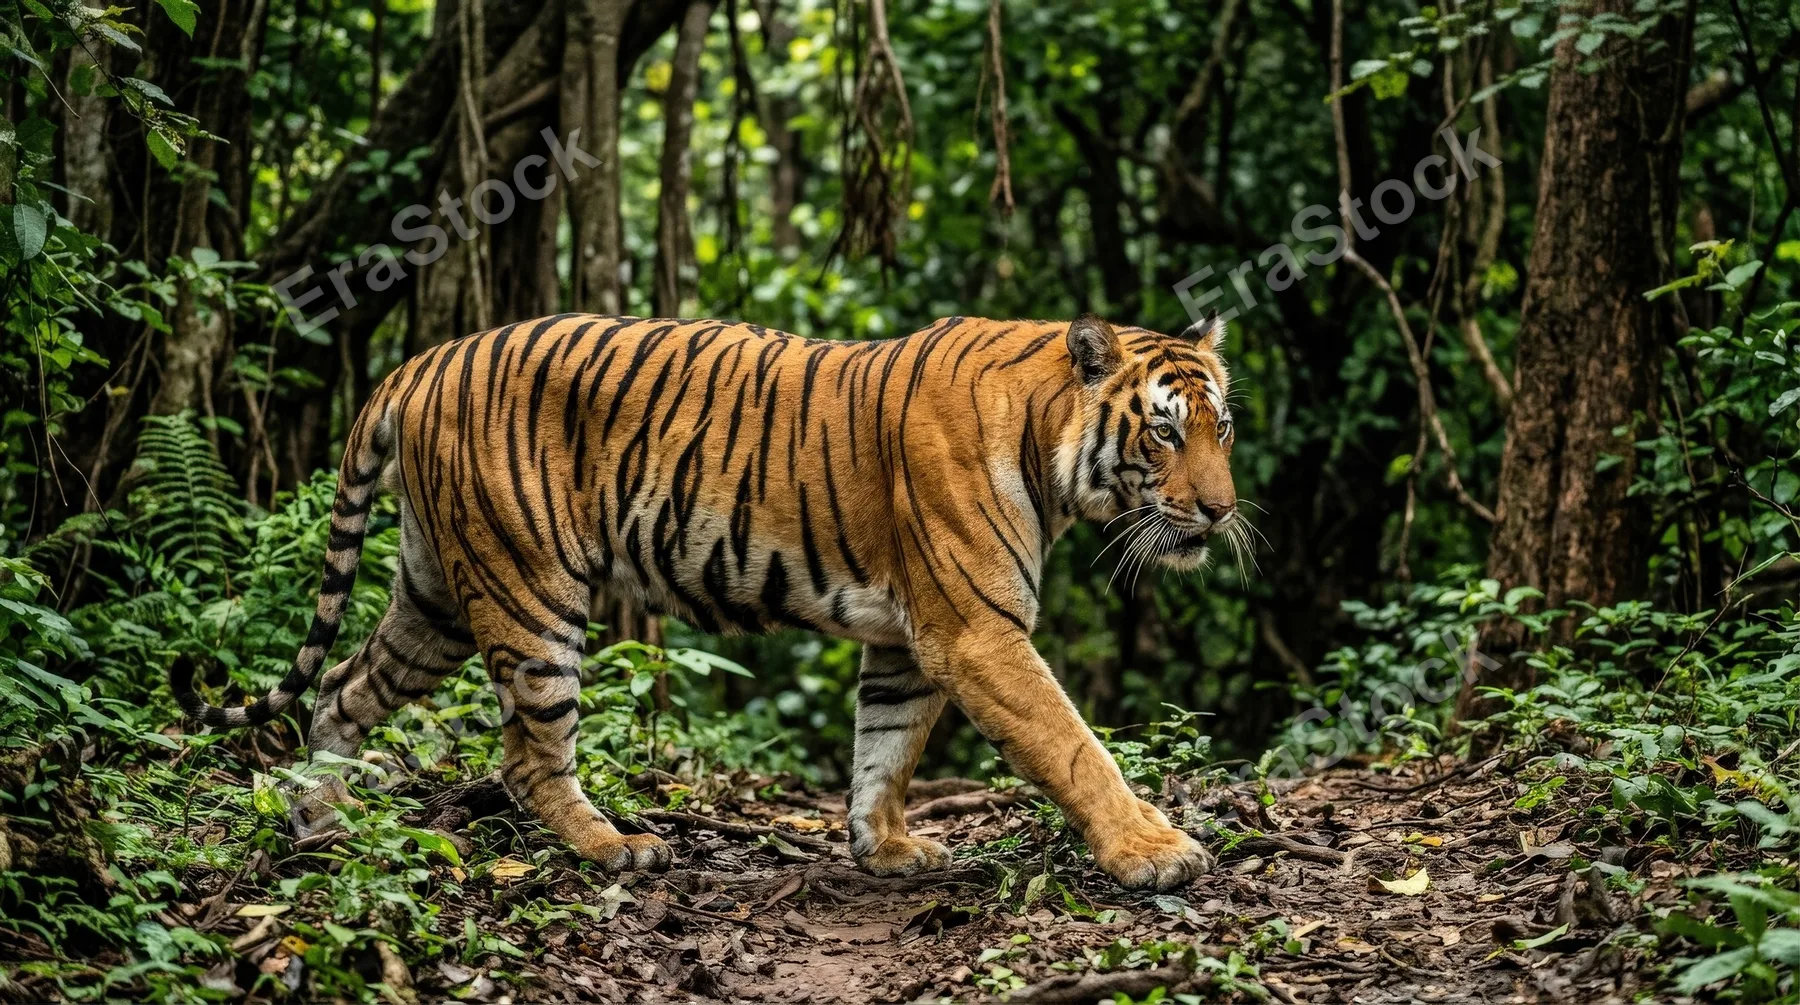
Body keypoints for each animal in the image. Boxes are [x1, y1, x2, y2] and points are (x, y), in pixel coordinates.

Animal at [172, 311, 1241, 890]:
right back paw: (614, 847)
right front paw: (1155, 851)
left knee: (341, 690)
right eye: (1163, 431)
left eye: (1221, 427)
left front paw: (886, 849)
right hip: (532, 592)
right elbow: (1073, 743)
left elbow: (886, 750)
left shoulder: (909, 642)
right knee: (527, 754)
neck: (1049, 448)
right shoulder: (975, 631)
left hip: (434, 593)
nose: (1223, 510)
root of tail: (423, 359)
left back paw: (327, 820)